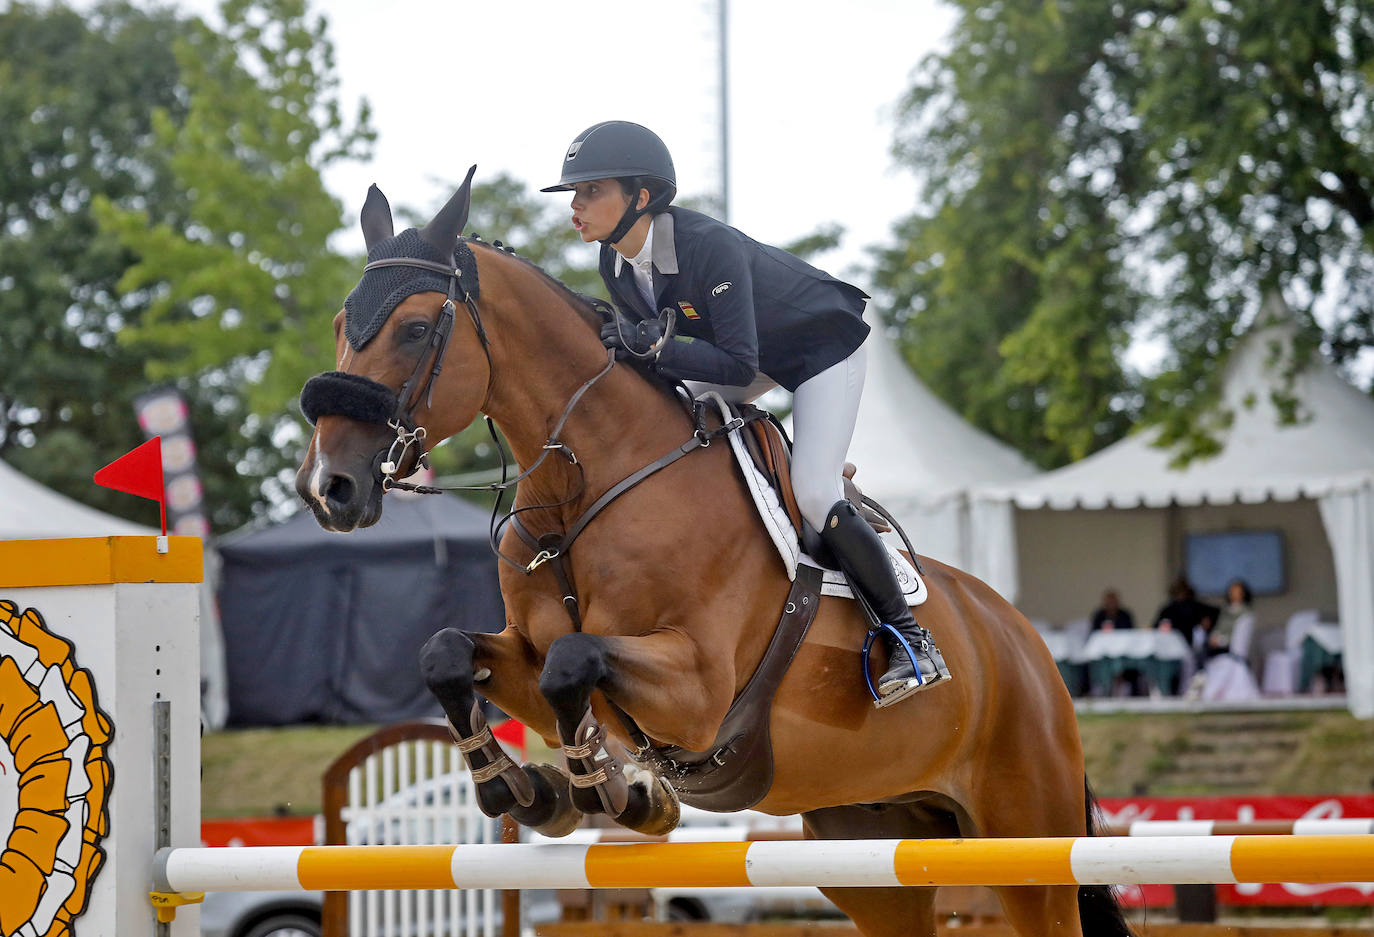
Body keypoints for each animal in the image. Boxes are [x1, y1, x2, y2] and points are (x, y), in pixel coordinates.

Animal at [289, 169, 1126, 934]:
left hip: (1027, 837)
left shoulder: (697, 686)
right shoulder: (526, 650)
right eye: (338, 323)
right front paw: (527, 789)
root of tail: (1022, 638)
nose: (328, 486)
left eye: (415, 330)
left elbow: (573, 664)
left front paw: (611, 790)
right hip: (876, 845)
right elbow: (448, 652)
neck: (586, 483)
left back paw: (908, 654)